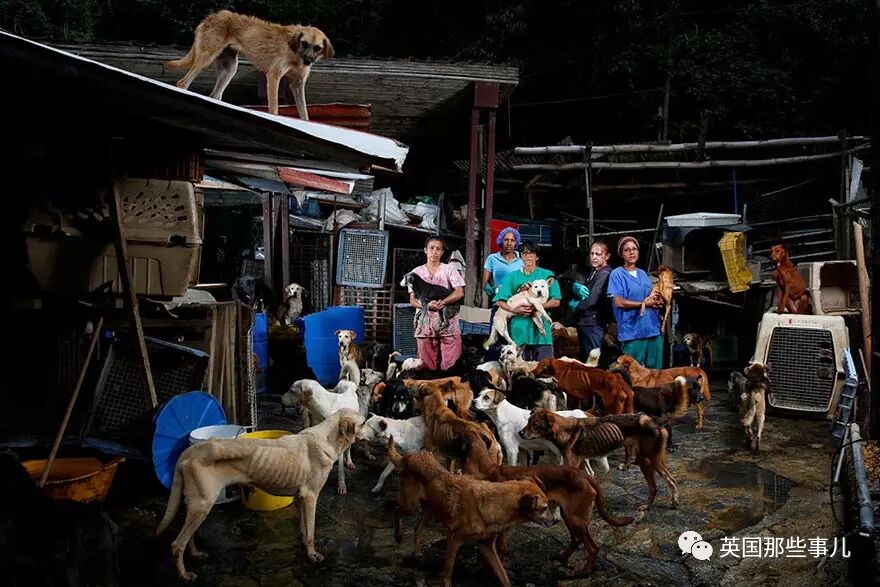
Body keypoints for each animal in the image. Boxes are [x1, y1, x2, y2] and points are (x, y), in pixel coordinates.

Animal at [156, 412, 362, 580]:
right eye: (362, 422)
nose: (373, 421)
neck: (328, 436)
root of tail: (191, 450)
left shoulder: (301, 498)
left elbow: (304, 529)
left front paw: (305, 547)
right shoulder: (311, 497)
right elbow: (311, 532)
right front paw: (312, 556)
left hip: (194, 505)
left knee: (187, 536)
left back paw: (196, 554)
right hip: (202, 505)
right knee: (177, 544)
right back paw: (184, 575)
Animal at [166, 10, 334, 119]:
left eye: (317, 48)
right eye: (304, 43)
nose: (307, 61)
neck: (295, 53)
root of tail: (212, 16)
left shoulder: (297, 84)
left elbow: (304, 114)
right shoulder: (273, 76)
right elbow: (274, 108)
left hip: (230, 69)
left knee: (215, 95)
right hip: (206, 58)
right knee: (182, 83)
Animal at [458, 430, 636, 576]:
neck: (484, 469)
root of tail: (585, 475)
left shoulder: (499, 528)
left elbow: (496, 551)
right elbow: (487, 552)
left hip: (576, 520)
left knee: (593, 548)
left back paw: (583, 572)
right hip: (569, 517)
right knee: (575, 542)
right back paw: (563, 557)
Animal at [524, 408, 680, 510]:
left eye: (535, 425)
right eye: (528, 421)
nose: (520, 433)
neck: (564, 430)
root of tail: (655, 422)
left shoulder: (572, 464)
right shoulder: (581, 463)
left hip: (646, 461)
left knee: (655, 486)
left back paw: (647, 506)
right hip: (654, 461)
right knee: (671, 480)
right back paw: (674, 503)